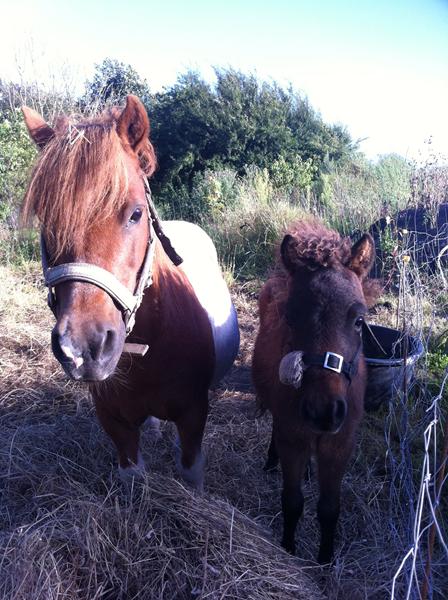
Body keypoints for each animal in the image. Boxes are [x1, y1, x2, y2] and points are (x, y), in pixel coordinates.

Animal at [21, 94, 238, 488]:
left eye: (136, 214)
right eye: (47, 220)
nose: (84, 348)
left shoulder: (194, 414)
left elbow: (191, 471)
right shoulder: (114, 422)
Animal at [254, 220, 376, 564]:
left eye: (359, 320)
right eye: (290, 317)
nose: (324, 411)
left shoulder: (339, 445)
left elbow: (329, 508)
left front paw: (325, 558)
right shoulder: (293, 438)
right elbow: (293, 501)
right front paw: (288, 547)